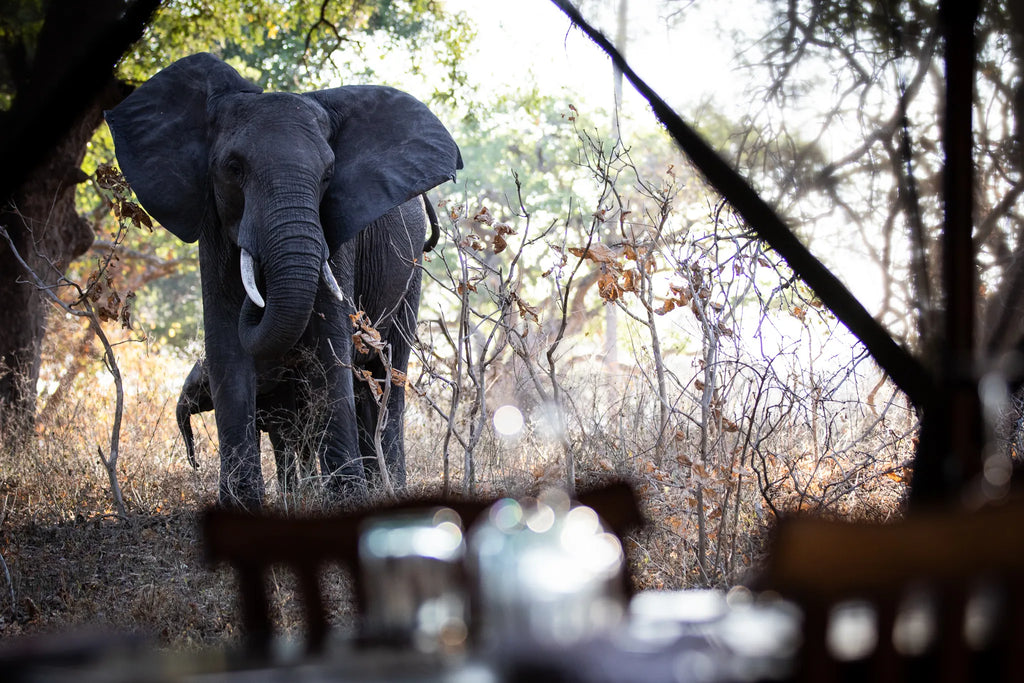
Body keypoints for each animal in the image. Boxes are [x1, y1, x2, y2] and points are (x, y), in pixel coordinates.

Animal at [107, 53, 462, 508]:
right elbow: (226, 346)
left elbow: (330, 344)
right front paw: (241, 505)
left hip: (411, 264)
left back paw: (388, 489)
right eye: (233, 168)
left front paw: (346, 501)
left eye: (328, 174)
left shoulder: (336, 234)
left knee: (388, 369)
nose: (258, 292)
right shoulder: (212, 226)